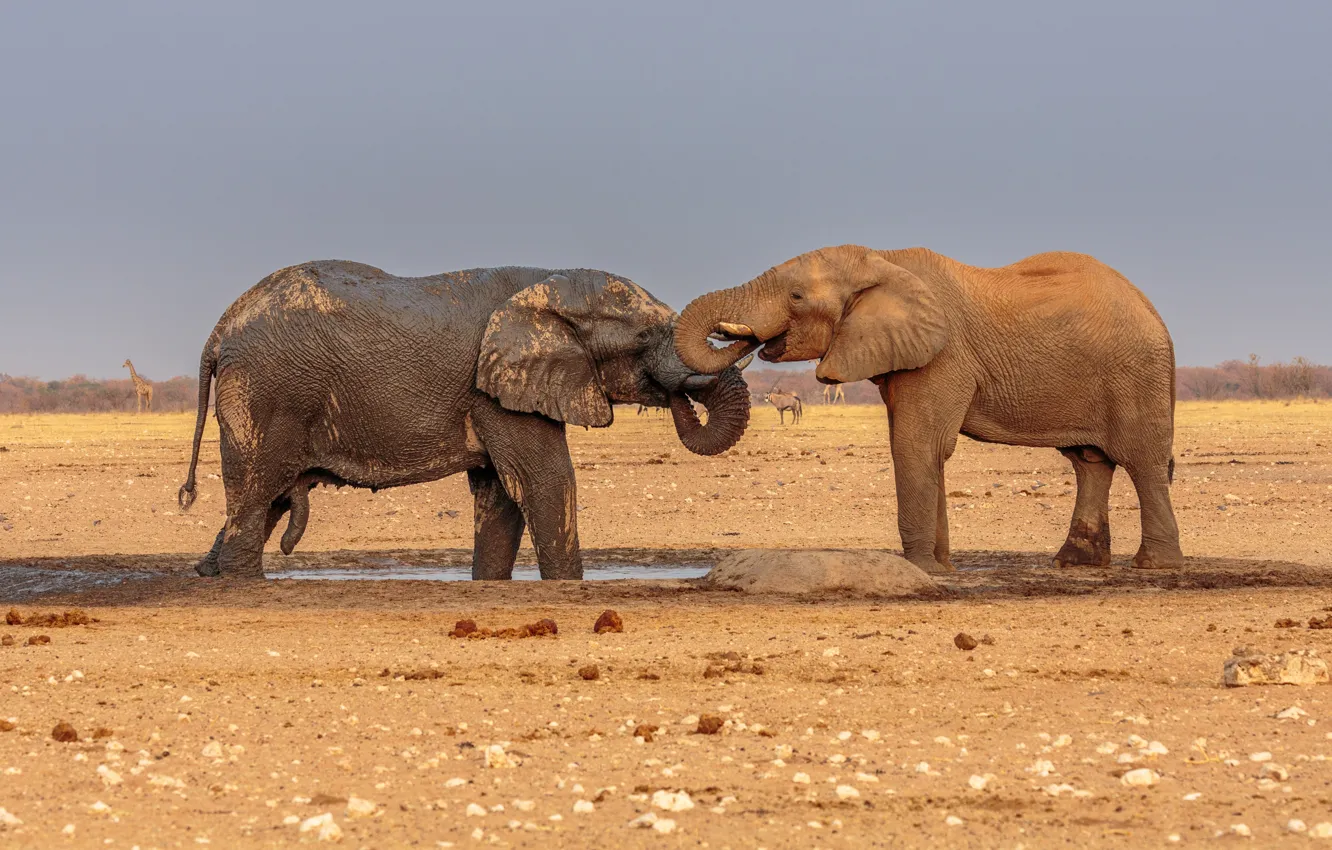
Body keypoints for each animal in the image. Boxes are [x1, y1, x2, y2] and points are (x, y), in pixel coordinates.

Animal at [178, 261, 751, 580]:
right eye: (646, 337)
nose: (678, 394)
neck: (547, 283)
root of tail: (220, 328)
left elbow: (501, 496)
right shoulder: (495, 389)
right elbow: (544, 483)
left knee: (265, 501)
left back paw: (210, 572)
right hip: (266, 393)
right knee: (256, 496)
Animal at [674, 244, 1183, 574]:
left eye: (796, 297)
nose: (742, 340)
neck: (882, 259)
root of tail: (1150, 306)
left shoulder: (943, 357)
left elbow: (916, 445)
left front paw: (921, 569)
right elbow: (930, 449)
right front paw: (941, 568)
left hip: (1136, 374)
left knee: (1142, 461)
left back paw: (1155, 565)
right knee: (1089, 462)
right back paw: (1073, 564)